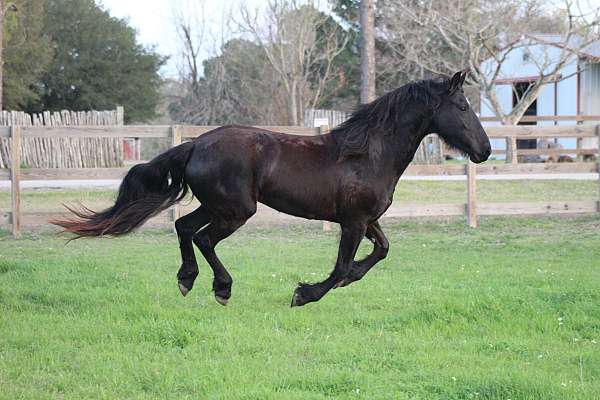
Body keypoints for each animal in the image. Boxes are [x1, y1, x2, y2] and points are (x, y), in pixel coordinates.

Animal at [52, 71, 492, 306]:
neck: (368, 154)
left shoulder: (367, 220)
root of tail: (196, 144)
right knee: (203, 238)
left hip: (218, 206)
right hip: (236, 211)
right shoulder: (352, 223)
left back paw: (187, 280)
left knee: (184, 228)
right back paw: (222, 288)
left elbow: (380, 252)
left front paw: (342, 281)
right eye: (463, 107)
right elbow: (342, 266)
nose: (485, 151)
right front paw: (304, 293)